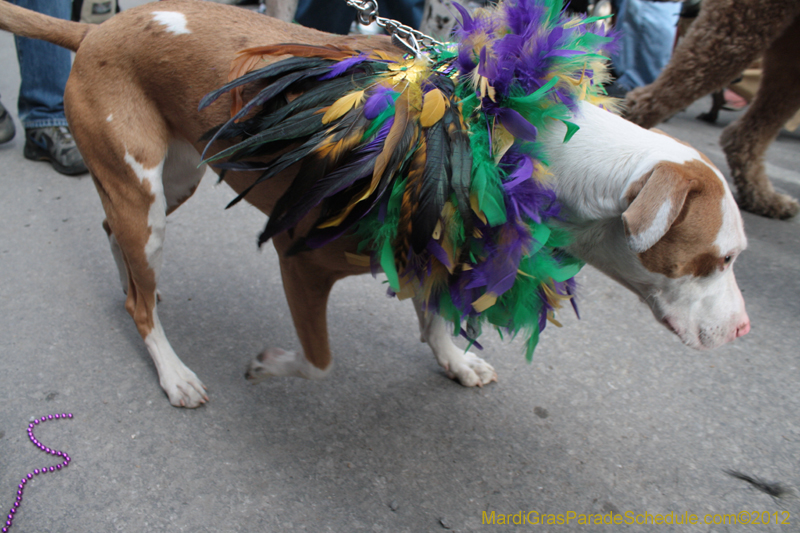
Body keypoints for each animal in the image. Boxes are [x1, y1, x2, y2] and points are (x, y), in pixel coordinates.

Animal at [0, 0, 752, 408]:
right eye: (713, 260)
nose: (745, 331)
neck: (506, 138)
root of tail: (97, 31)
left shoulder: (442, 243)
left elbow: (436, 312)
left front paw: (453, 358)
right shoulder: (302, 262)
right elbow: (319, 359)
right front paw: (270, 366)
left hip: (171, 178)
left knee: (118, 241)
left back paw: (133, 289)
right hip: (146, 195)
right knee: (140, 294)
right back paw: (172, 367)